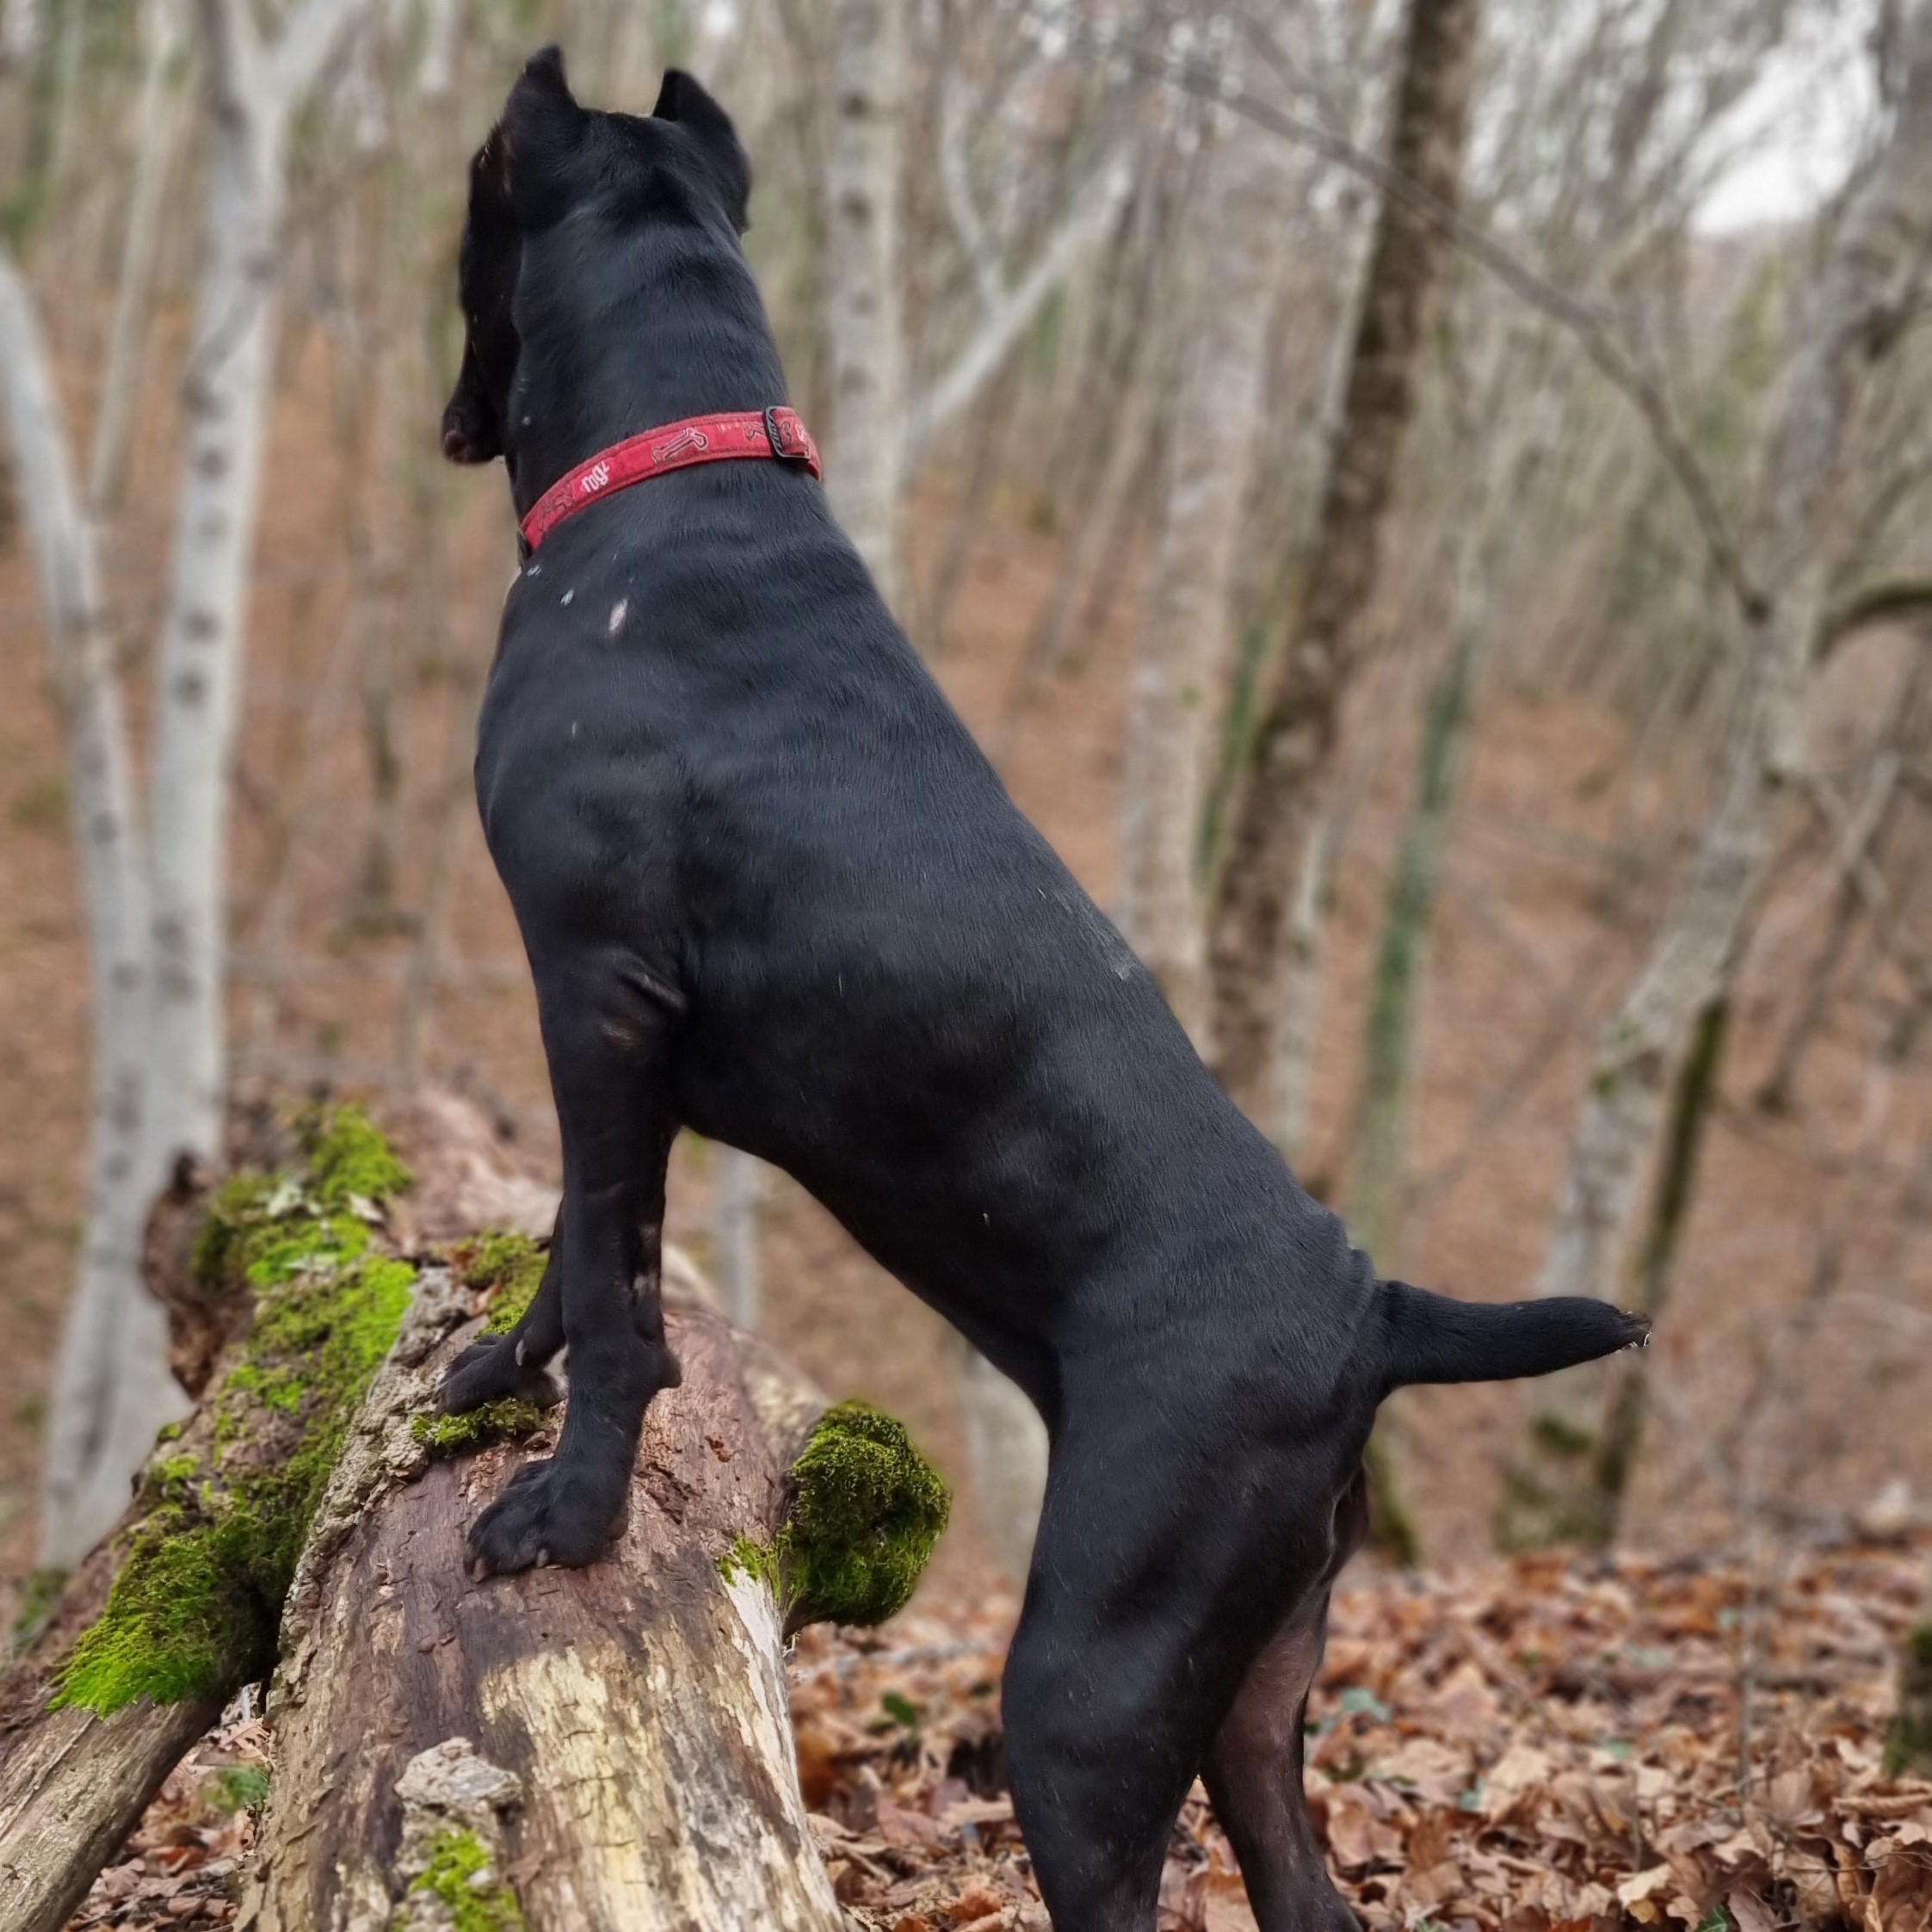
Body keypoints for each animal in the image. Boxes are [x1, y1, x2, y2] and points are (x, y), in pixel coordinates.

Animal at [442, 48, 1645, 1932]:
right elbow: (578, 1240)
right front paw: (500, 1372)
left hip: (1087, 1687)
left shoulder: (599, 997)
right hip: (1252, 1695)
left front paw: (569, 1511)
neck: (674, 486)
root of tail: (1374, 1313)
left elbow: (624, 1284)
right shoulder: (596, 1039)